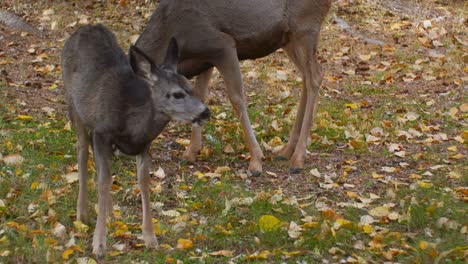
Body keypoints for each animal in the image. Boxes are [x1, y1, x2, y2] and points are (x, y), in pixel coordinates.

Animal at [136, 0, 332, 175]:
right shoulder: (205, 59)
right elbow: (200, 95)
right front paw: (191, 152)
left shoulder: (222, 45)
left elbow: (236, 98)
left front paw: (256, 160)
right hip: (289, 38)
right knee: (306, 76)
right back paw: (286, 151)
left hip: (305, 26)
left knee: (315, 76)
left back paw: (298, 159)